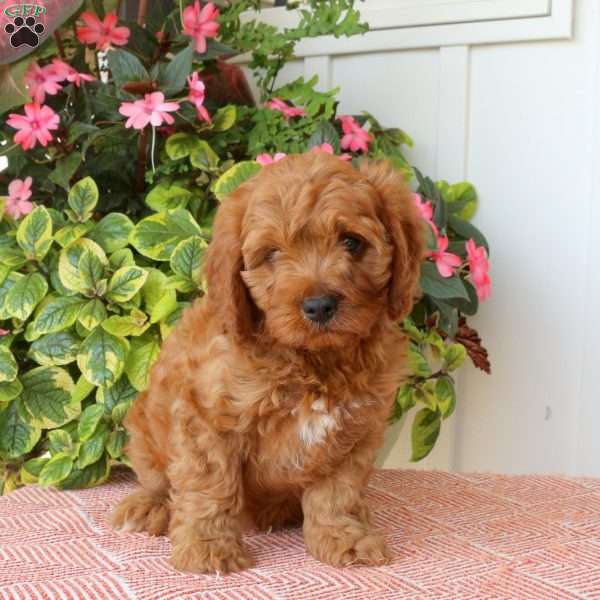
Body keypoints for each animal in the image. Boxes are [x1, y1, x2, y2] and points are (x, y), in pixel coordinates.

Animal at [111, 152, 426, 576]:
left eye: (352, 242)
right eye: (272, 254)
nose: (319, 306)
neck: (312, 359)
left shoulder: (356, 431)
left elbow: (338, 493)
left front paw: (345, 537)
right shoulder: (205, 418)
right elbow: (211, 487)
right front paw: (208, 549)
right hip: (144, 432)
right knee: (158, 481)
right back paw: (149, 507)